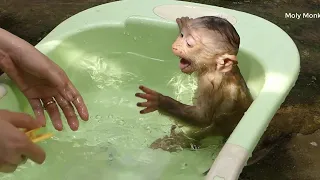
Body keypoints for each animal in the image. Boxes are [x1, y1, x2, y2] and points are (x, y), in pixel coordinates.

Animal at [135, 16, 252, 152]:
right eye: (182, 35)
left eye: (189, 44)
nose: (175, 46)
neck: (213, 68)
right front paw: (183, 21)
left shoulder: (209, 84)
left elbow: (203, 118)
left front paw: (159, 101)